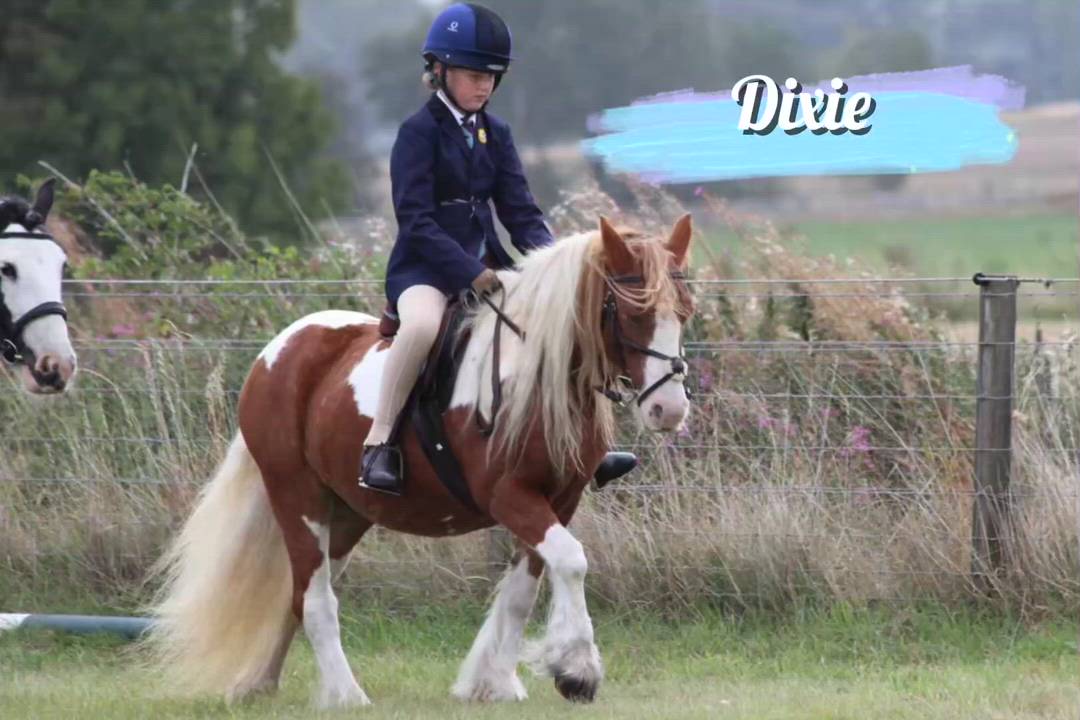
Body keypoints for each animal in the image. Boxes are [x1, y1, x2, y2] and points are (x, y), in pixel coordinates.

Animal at [146, 214, 695, 708]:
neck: (536, 373)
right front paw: (576, 670)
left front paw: (492, 682)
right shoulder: (510, 497)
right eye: (632, 313)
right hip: (297, 497)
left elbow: (524, 588)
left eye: (685, 312)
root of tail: (276, 351)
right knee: (316, 597)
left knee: (299, 591)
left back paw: (259, 682)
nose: (669, 410)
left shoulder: (560, 498)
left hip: (348, 513)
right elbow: (572, 561)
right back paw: (346, 696)